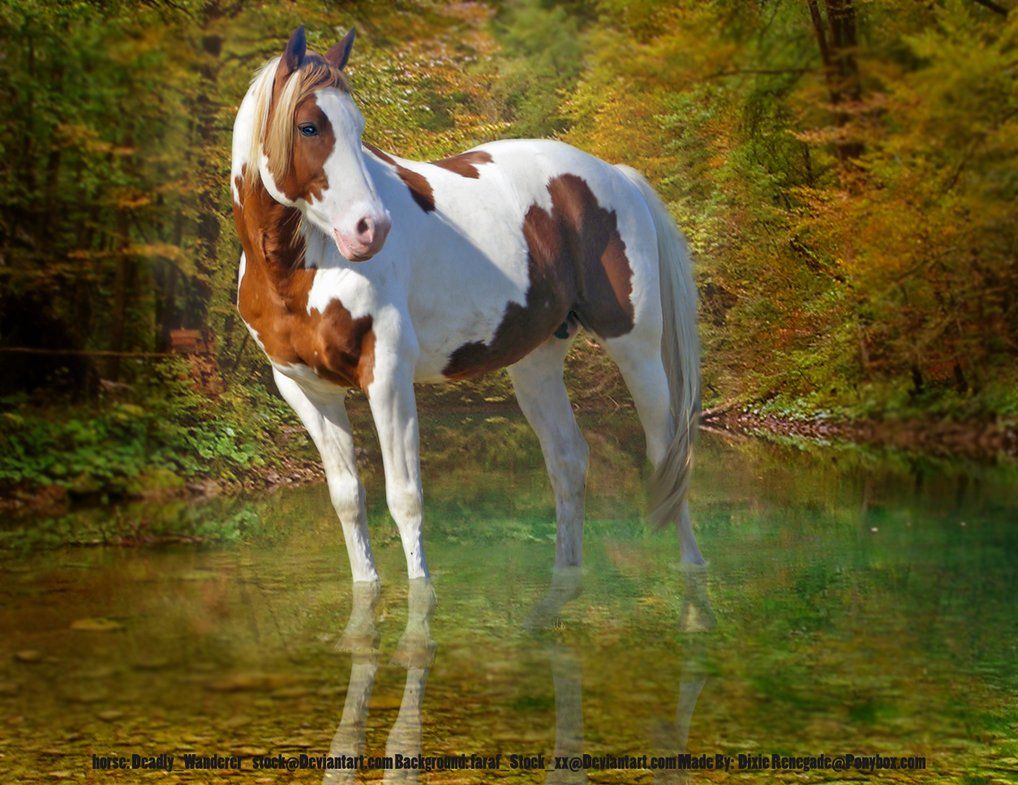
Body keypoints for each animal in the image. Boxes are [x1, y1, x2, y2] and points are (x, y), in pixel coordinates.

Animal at [230, 26, 704, 585]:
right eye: (308, 127)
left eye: (358, 128)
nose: (372, 229)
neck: (299, 269)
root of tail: (613, 174)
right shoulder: (305, 390)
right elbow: (348, 501)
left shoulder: (387, 376)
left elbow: (405, 500)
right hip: (536, 361)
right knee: (568, 460)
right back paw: (565, 579)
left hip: (635, 346)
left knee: (666, 457)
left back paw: (692, 576)